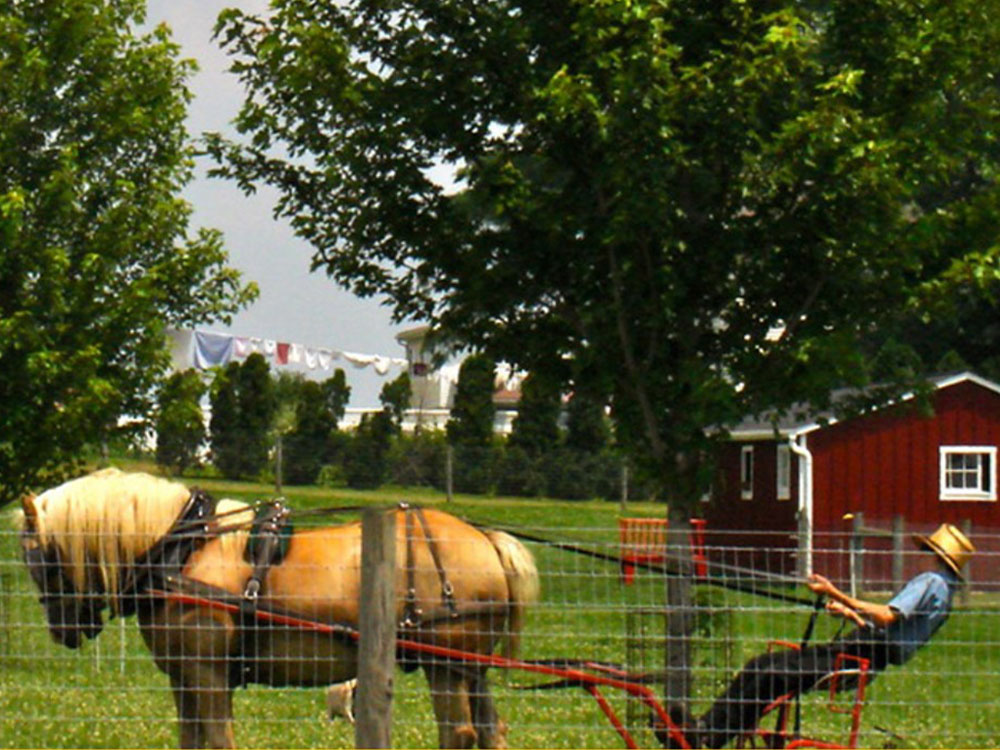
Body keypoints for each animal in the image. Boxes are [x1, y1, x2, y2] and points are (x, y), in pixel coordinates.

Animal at [19, 468, 540, 748]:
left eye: (38, 559)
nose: (64, 631)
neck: (181, 551)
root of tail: (486, 540)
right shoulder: (183, 676)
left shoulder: (208, 672)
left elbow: (219, 740)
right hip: (472, 668)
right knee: (492, 730)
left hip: (445, 665)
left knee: (460, 734)